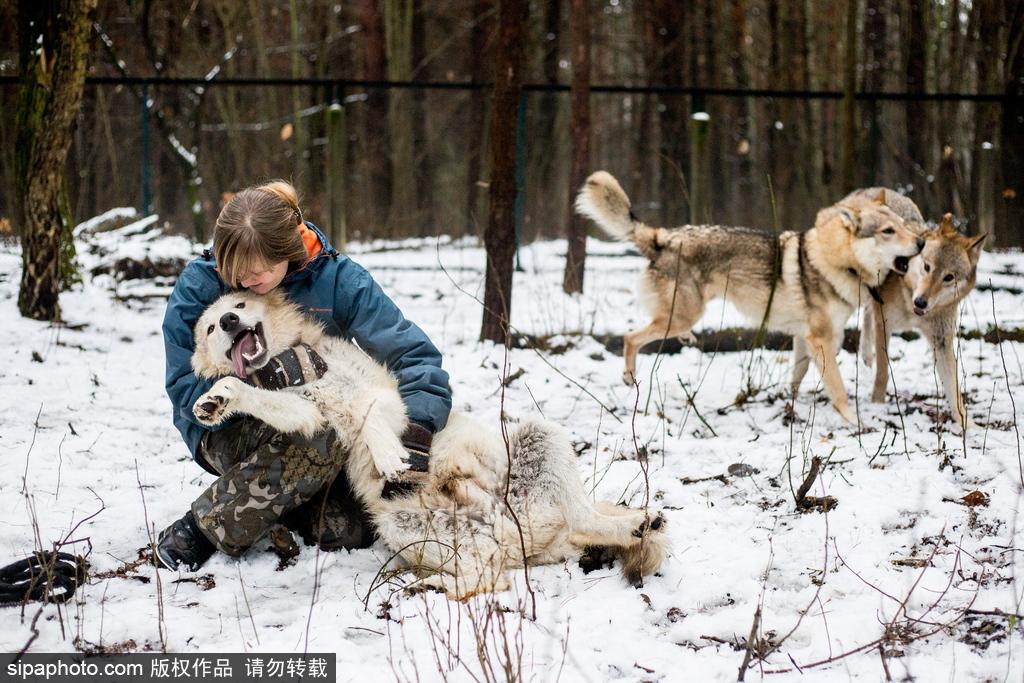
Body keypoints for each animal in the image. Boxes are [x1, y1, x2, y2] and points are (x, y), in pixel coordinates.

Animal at [190, 290, 671, 602]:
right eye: (212, 326)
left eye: (238, 307)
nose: (229, 323)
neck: (292, 363)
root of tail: (513, 527)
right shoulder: (311, 417)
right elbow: (259, 397)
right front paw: (217, 400)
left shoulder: (385, 400)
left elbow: (373, 417)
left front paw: (392, 455)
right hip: (405, 526)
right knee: (490, 577)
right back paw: (430, 586)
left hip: (540, 436)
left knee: (581, 518)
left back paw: (638, 523)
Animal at [573, 172, 925, 421]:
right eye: (888, 231)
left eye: (902, 225)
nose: (921, 242)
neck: (834, 261)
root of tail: (664, 237)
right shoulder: (823, 339)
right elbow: (838, 389)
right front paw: (855, 423)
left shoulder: (807, 339)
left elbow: (796, 379)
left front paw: (791, 412)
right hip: (681, 316)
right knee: (630, 337)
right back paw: (629, 378)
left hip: (681, 317)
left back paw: (683, 342)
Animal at [835, 188, 987, 428]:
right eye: (927, 267)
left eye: (949, 277)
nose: (921, 302)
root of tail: (879, 190)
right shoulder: (884, 324)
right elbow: (883, 373)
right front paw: (878, 403)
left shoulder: (941, 341)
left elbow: (954, 391)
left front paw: (968, 426)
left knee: (867, 311)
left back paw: (866, 355)